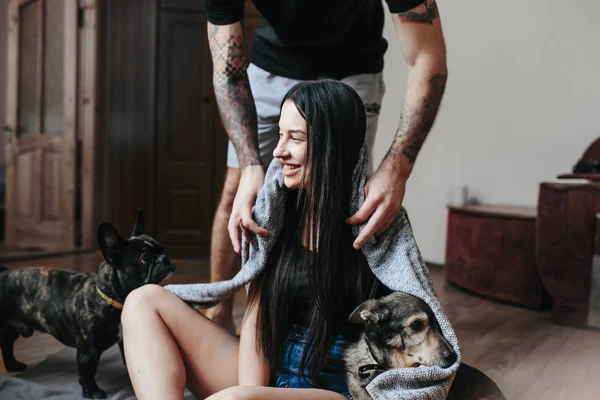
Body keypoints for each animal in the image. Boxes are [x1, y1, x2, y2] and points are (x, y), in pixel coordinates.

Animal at [0, 211, 176, 398]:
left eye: (162, 249)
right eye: (144, 259)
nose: (165, 258)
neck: (113, 297)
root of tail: (3, 273)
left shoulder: (124, 341)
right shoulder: (88, 350)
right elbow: (87, 371)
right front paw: (92, 391)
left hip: (12, 326)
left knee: (6, 342)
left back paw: (12, 365)